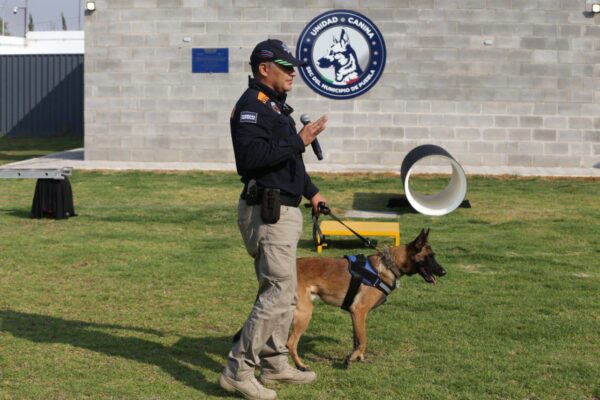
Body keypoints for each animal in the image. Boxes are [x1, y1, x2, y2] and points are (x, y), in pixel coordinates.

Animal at [290, 228, 446, 368]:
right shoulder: (359, 311)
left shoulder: (354, 314)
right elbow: (364, 340)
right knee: (290, 343)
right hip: (305, 312)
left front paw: (357, 357)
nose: (444, 272)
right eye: (430, 256)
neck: (389, 266)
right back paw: (301, 366)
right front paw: (353, 358)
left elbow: (357, 340)